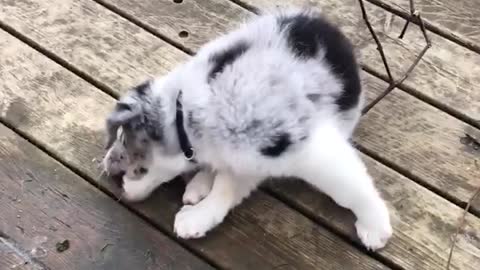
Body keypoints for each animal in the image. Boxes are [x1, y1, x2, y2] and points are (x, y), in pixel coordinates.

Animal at [103, 10, 392, 251]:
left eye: (123, 137)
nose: (107, 167)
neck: (186, 117)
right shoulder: (245, 160)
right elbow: (226, 188)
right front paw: (198, 216)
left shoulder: (309, 150)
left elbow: (351, 188)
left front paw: (375, 227)